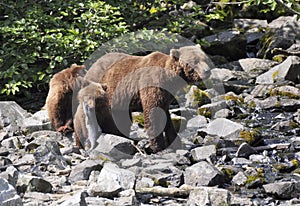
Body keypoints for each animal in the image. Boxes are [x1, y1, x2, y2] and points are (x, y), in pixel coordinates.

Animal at [85, 45, 214, 153]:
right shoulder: (152, 84)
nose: (207, 71)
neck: (170, 78)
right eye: (195, 61)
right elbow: (153, 114)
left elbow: (166, 117)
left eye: (205, 59)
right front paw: (158, 147)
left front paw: (176, 142)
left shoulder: (166, 96)